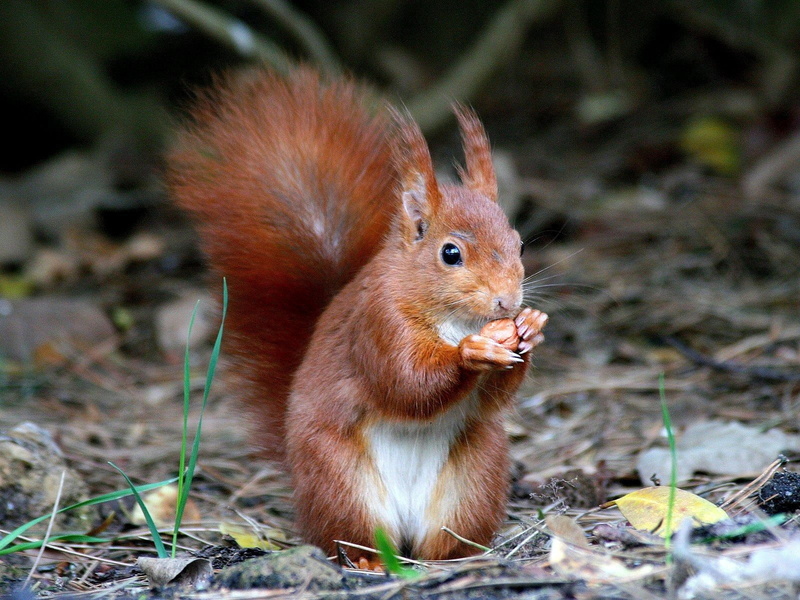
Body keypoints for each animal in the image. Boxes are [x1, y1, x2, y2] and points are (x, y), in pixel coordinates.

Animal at [168, 68, 548, 562]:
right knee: (348, 536)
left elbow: (490, 402)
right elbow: (406, 382)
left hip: (474, 476)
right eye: (450, 253)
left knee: (444, 538)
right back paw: (368, 561)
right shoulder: (377, 324)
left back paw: (454, 558)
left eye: (519, 244)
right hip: (339, 479)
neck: (454, 319)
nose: (507, 302)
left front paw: (530, 328)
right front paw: (472, 352)